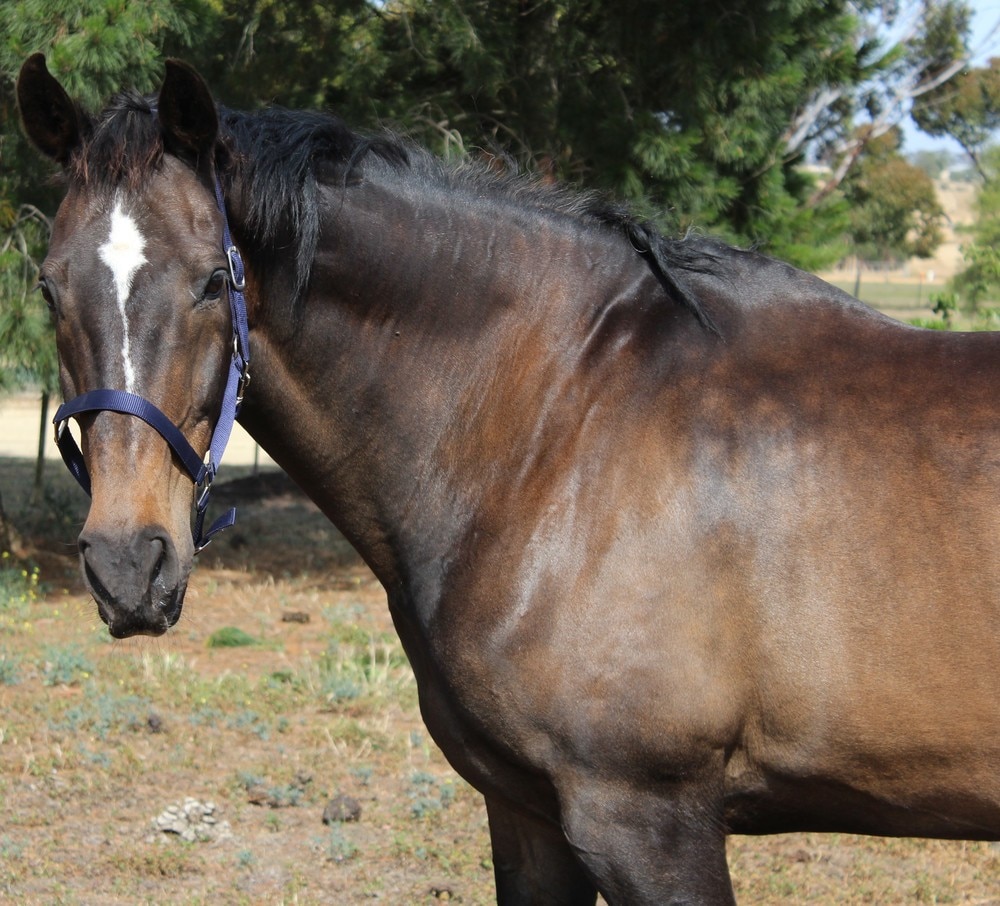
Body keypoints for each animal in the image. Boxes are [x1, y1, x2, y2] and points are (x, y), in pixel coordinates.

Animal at [15, 58, 1000, 904]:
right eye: (51, 287)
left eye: (213, 282)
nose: (127, 565)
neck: (562, 426)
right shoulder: (527, 813)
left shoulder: (648, 819)